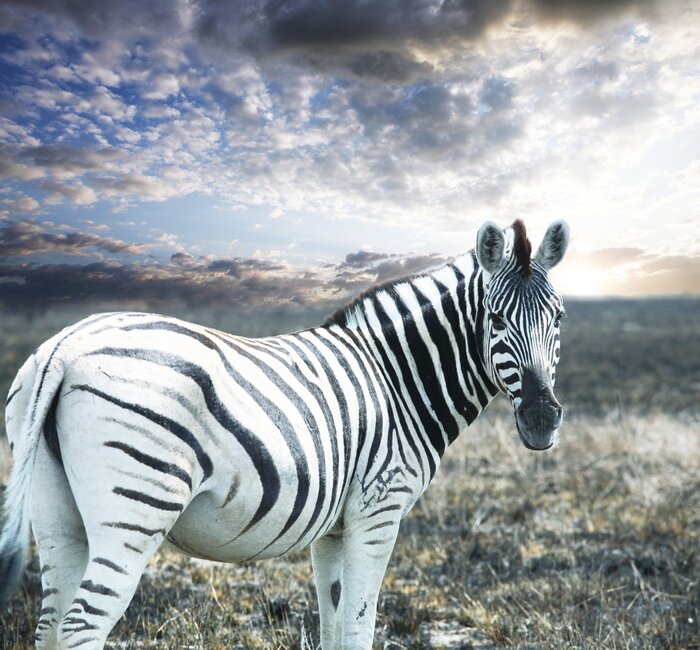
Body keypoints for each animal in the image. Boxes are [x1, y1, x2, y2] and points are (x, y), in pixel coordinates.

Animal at [0, 218, 569, 649]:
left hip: (56, 513)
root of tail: (67, 345)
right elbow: (359, 626)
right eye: (495, 318)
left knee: (50, 626)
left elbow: (334, 625)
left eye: (560, 318)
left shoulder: (335, 529)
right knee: (81, 626)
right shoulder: (379, 510)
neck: (396, 378)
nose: (542, 418)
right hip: (136, 508)